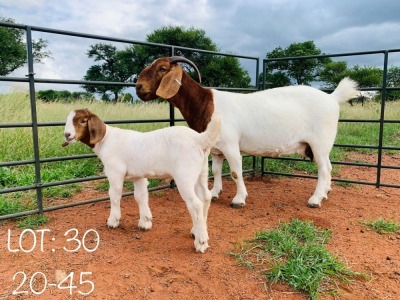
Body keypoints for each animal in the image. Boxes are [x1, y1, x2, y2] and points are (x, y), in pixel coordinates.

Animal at [135, 58, 360, 209]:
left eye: (162, 68)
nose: (138, 87)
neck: (207, 104)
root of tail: (332, 98)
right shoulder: (216, 148)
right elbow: (216, 170)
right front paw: (214, 193)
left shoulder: (230, 144)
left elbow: (235, 172)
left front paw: (239, 199)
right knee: (328, 167)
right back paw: (326, 193)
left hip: (320, 143)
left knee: (325, 168)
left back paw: (315, 199)